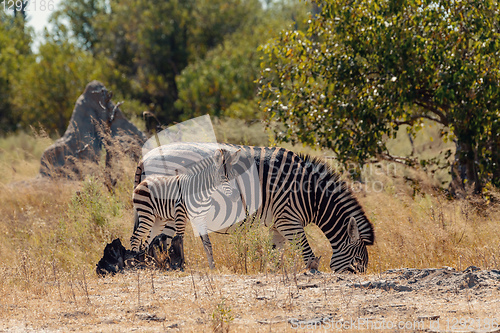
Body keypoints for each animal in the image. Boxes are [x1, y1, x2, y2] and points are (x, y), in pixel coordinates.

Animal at [133, 142, 376, 272]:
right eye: (357, 264)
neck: (310, 195)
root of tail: (146, 157)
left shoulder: (279, 225)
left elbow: (275, 253)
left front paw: (274, 275)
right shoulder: (289, 221)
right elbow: (307, 254)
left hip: (162, 213)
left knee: (154, 241)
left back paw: (155, 266)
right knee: (158, 240)